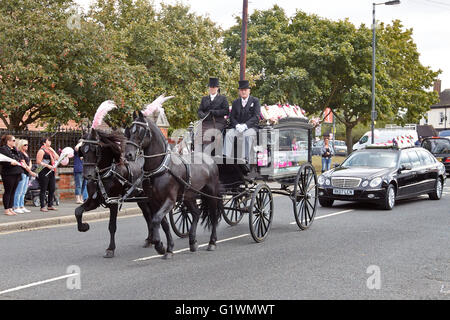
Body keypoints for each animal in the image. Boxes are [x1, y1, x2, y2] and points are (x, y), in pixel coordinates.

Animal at [74, 127, 174, 258]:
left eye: (95, 150)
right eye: (82, 150)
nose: (87, 175)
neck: (107, 174)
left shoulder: (113, 202)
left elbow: (112, 226)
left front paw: (110, 249)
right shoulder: (94, 201)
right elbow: (78, 212)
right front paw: (84, 226)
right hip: (143, 201)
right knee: (148, 216)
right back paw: (150, 240)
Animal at [125, 110, 221, 255]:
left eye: (141, 131)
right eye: (130, 130)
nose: (128, 155)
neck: (161, 168)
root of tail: (209, 158)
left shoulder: (169, 199)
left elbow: (156, 220)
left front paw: (159, 245)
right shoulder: (154, 201)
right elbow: (163, 223)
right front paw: (167, 248)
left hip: (211, 193)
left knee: (214, 216)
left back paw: (212, 242)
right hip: (188, 196)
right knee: (196, 213)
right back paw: (192, 241)